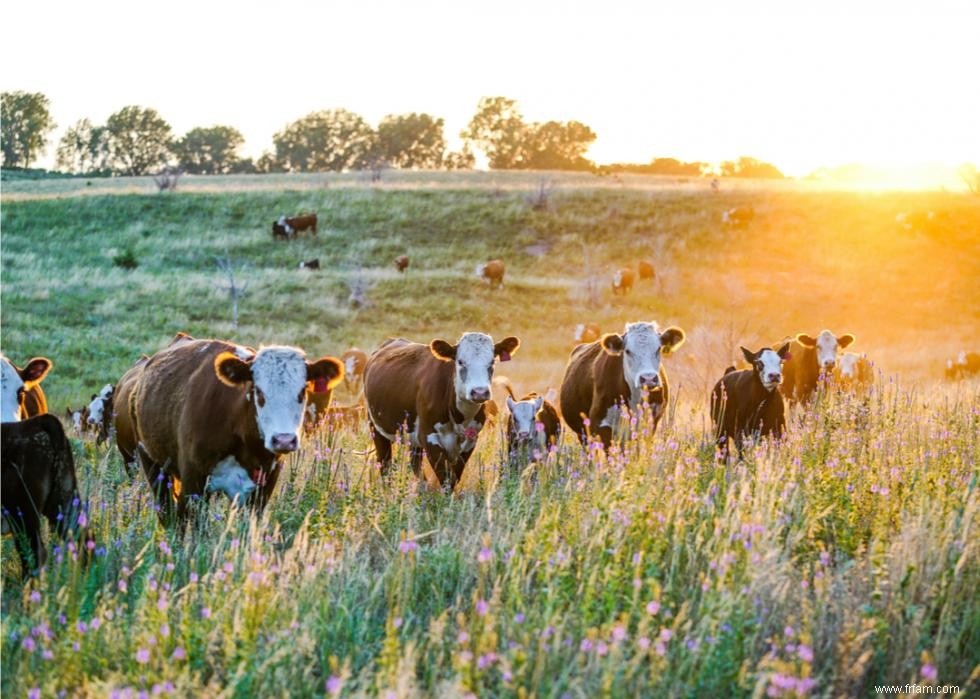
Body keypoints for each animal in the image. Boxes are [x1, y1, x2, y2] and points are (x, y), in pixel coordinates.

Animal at [128, 336, 344, 524]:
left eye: (302, 390)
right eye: (258, 391)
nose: (284, 440)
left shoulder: (263, 487)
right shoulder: (193, 482)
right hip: (152, 463)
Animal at [364, 330, 520, 490]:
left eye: (492, 362)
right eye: (460, 361)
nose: (480, 392)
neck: (459, 418)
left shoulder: (471, 440)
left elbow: (455, 475)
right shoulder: (429, 437)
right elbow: (446, 477)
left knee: (415, 463)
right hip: (376, 428)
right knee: (385, 464)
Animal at [560, 322, 688, 452]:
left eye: (658, 349)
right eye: (627, 351)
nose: (648, 378)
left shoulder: (650, 423)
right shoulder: (600, 425)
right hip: (583, 434)